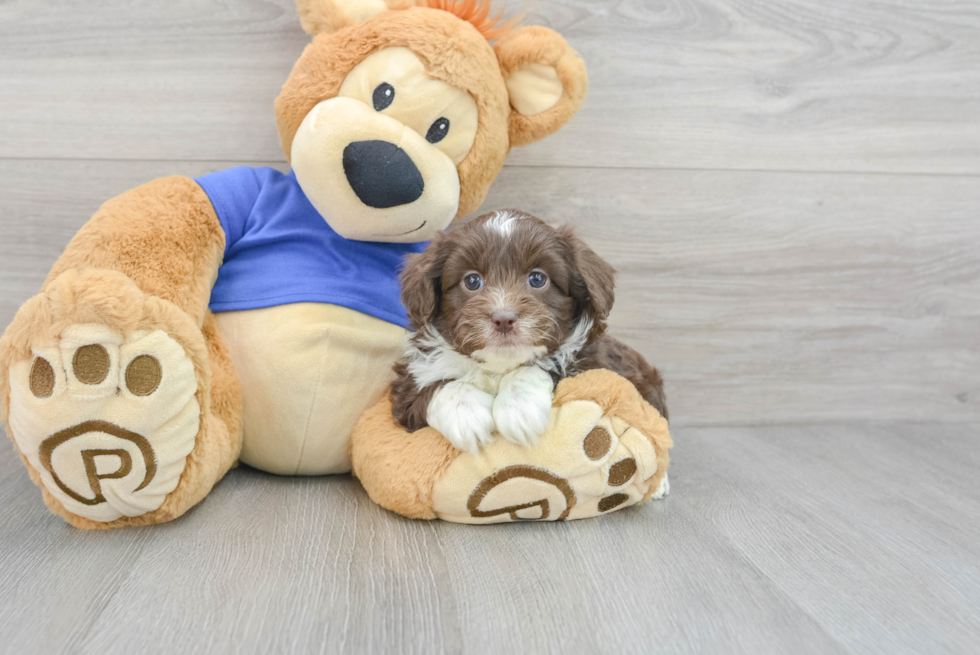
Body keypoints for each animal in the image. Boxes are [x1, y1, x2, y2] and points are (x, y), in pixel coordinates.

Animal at [390, 213, 668, 454]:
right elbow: (435, 384)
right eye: (471, 281)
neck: (499, 366)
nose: (503, 319)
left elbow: (546, 365)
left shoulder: (594, 366)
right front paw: (467, 416)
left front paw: (518, 409)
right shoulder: (408, 384)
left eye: (537, 279)